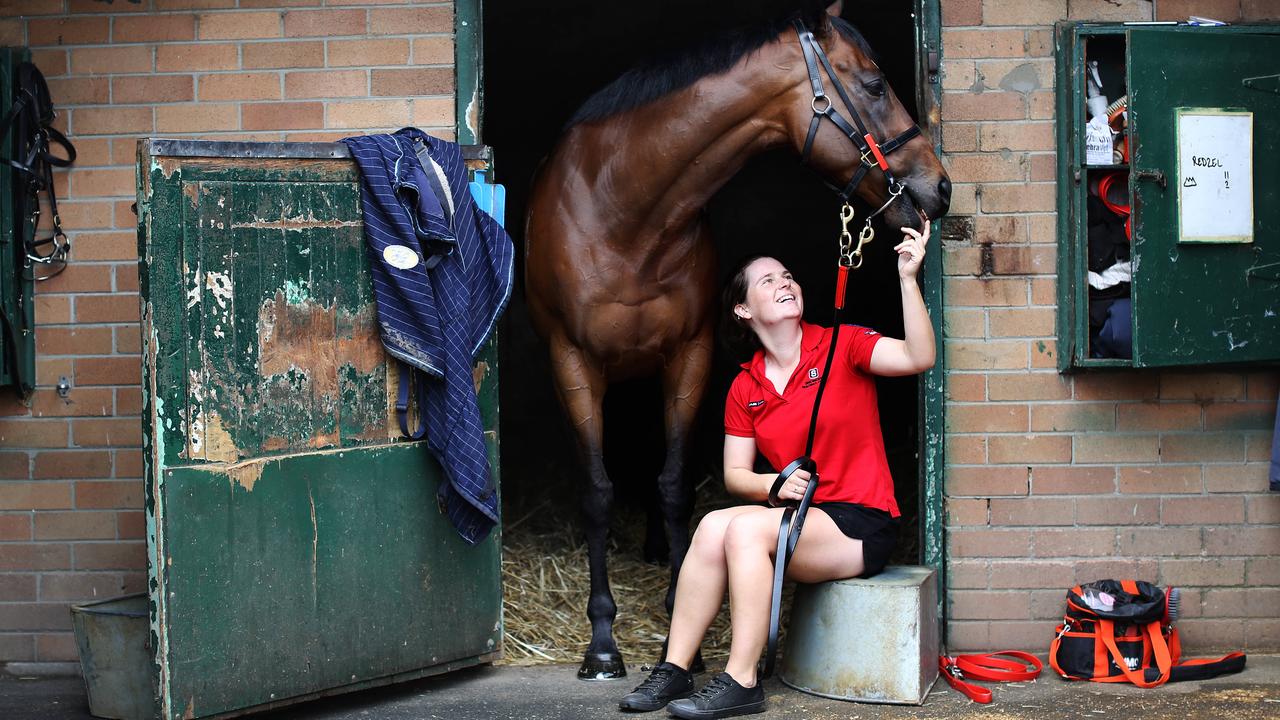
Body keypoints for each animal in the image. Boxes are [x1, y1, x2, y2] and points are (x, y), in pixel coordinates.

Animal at [519, 7, 952, 676]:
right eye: (875, 85)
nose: (940, 188)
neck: (623, 213)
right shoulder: (574, 361)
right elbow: (596, 492)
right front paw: (603, 642)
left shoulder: (689, 356)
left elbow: (674, 486)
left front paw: (682, 627)